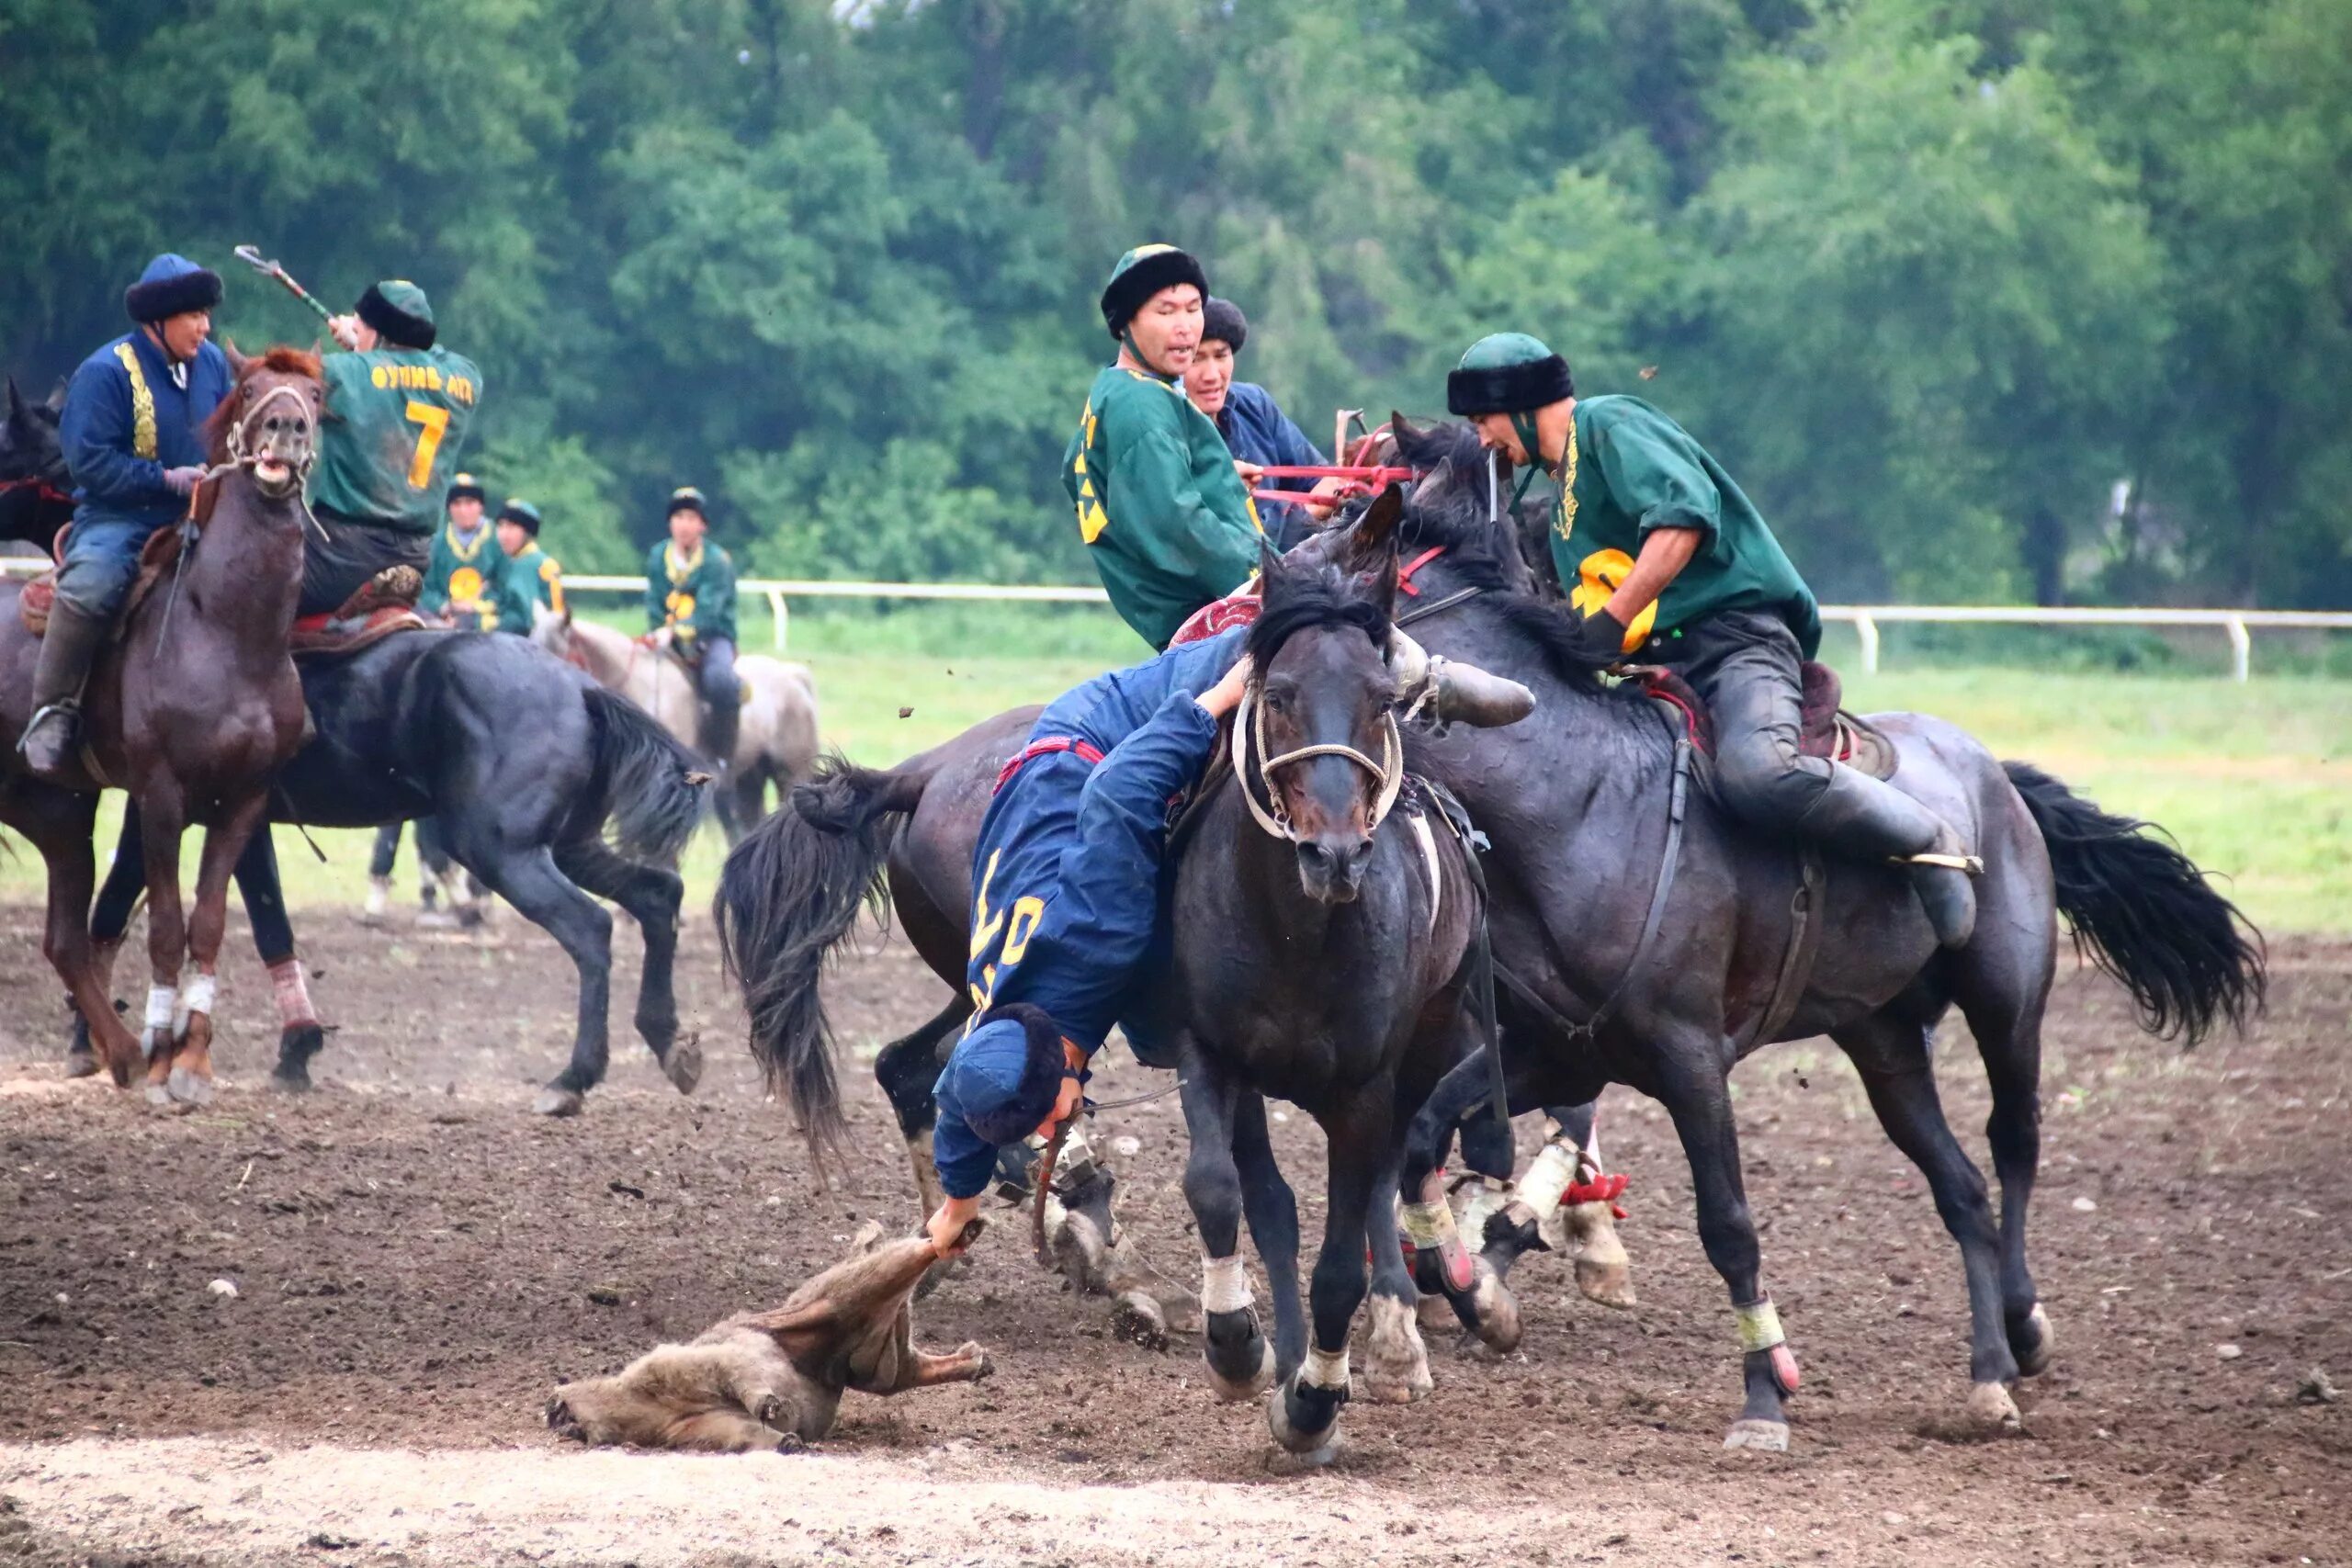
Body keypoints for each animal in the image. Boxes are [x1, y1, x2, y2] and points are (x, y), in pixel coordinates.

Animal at [0, 345, 322, 1104]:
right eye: (250, 389)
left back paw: (120, 1051)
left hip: (57, 812)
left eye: (317, 393)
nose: (288, 427)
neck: (229, 632)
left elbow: (208, 923)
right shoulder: (160, 796)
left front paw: (190, 1059)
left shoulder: (243, 801)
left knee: (64, 939)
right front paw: (164, 1051)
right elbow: (168, 926)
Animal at [1307, 423, 2257, 1457]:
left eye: (1352, 536)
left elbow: (1728, 1223)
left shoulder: (1688, 1061)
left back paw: (2025, 1323)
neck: (1581, 796)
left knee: (2013, 1144)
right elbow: (1423, 1139)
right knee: (1961, 1186)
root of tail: (1996, 776)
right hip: (1882, 1040)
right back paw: (1986, 1375)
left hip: (2008, 1003)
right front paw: (1469, 1290)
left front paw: (1764, 1395)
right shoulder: (1552, 1051)